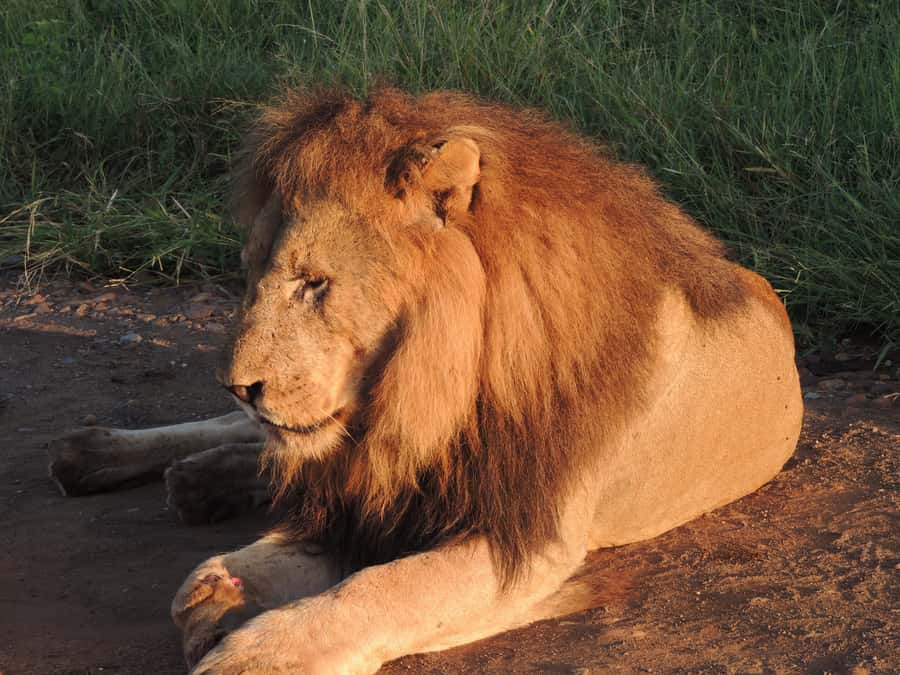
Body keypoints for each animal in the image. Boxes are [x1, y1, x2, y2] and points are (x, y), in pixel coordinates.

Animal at [48, 87, 802, 673]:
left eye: (314, 283)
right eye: (249, 273)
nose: (239, 384)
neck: (422, 399)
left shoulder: (525, 536)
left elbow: (382, 590)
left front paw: (259, 648)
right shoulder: (375, 493)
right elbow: (284, 554)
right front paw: (227, 588)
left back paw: (201, 480)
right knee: (248, 439)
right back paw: (103, 454)